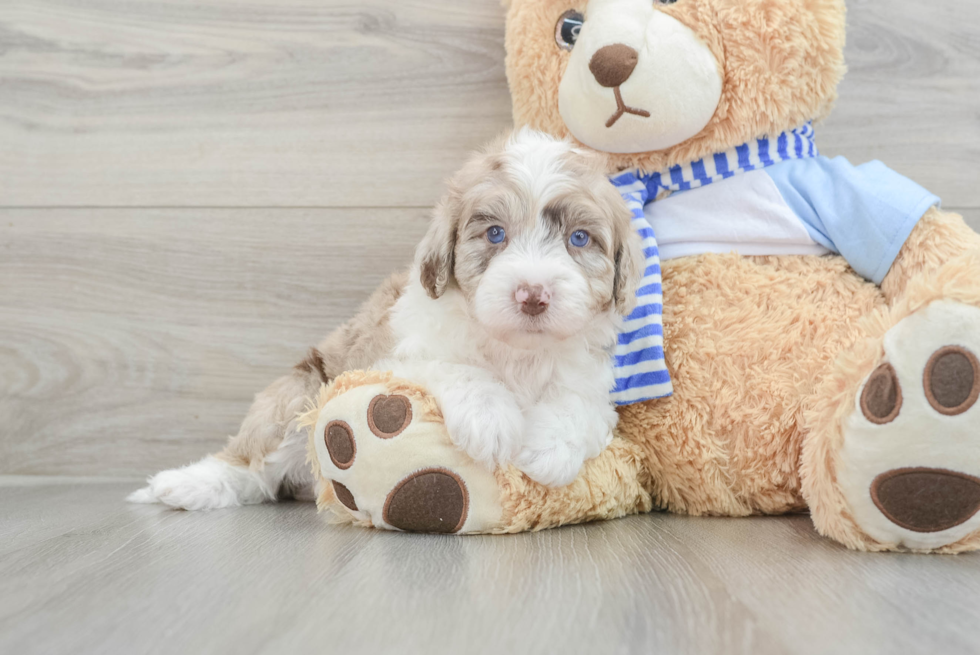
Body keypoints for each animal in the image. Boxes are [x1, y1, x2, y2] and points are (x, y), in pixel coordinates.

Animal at [132, 125, 652, 510]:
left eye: (579, 239)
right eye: (495, 234)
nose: (533, 295)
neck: (515, 350)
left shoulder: (590, 379)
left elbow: (578, 405)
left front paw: (549, 450)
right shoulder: (390, 359)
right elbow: (455, 369)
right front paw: (491, 419)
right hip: (300, 391)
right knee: (250, 464)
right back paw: (185, 485)